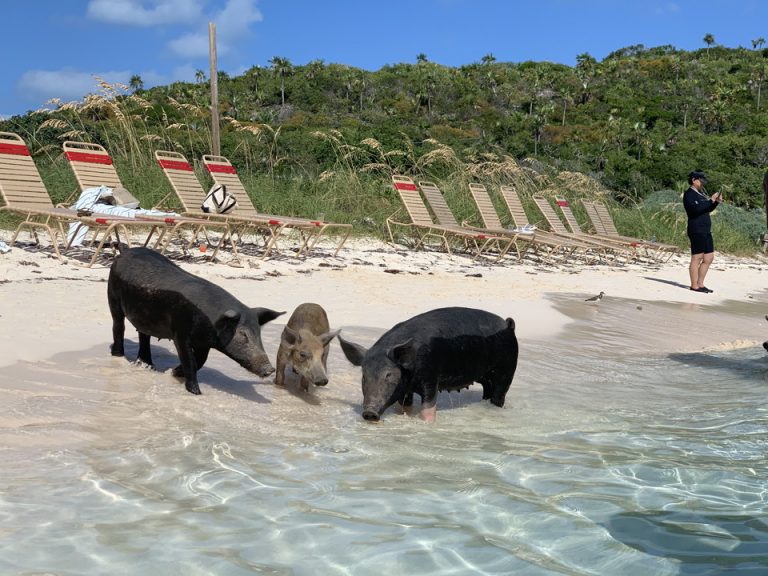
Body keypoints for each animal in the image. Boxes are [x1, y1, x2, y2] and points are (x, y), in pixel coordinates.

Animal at [107, 247, 284, 395]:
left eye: (259, 334)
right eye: (243, 335)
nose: (270, 369)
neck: (212, 322)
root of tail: (125, 251)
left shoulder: (204, 342)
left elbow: (200, 361)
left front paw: (174, 372)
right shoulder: (181, 333)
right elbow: (190, 360)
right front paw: (196, 392)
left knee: (144, 334)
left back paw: (147, 365)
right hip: (113, 295)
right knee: (118, 325)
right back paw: (117, 355)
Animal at [338, 306, 518, 423]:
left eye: (389, 375)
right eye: (364, 376)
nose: (369, 412)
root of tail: (508, 325)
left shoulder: (431, 376)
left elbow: (428, 407)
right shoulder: (406, 388)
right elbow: (404, 406)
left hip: (507, 369)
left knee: (500, 393)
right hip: (486, 377)